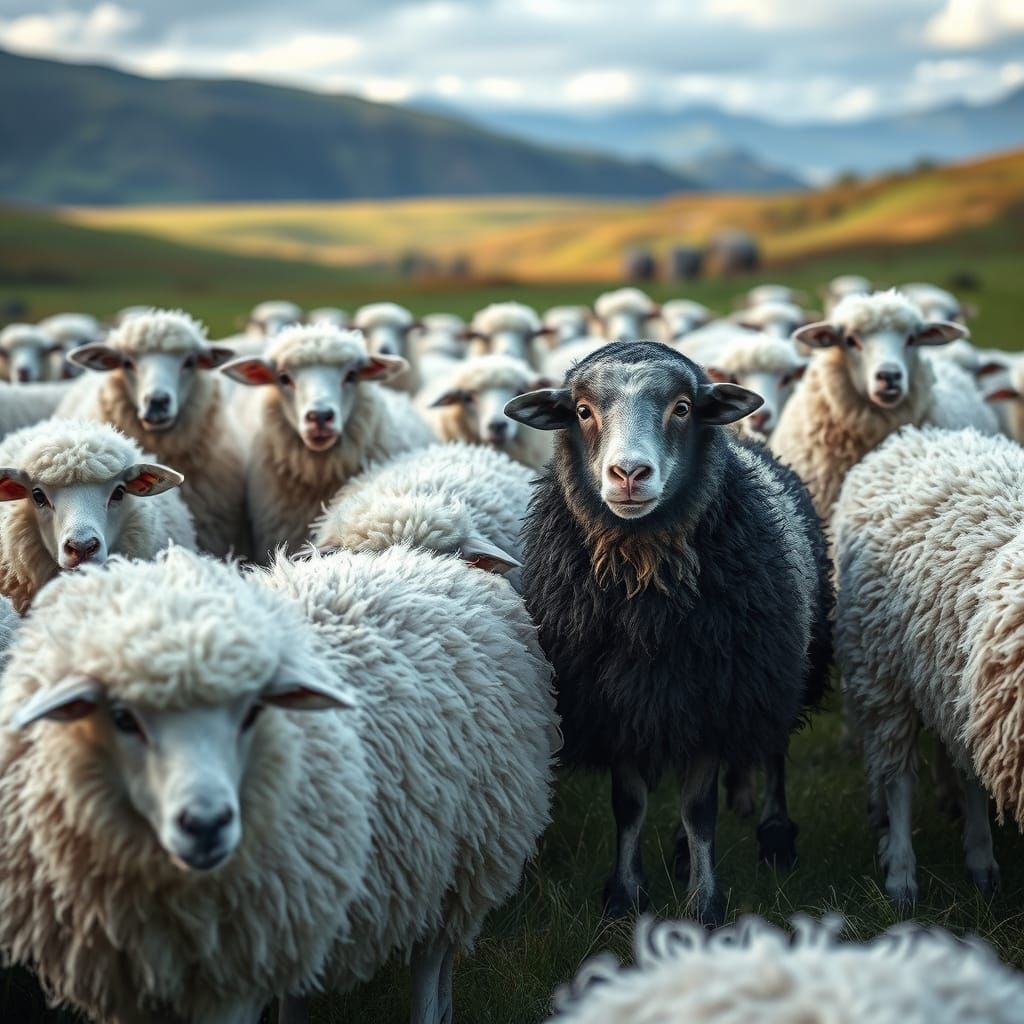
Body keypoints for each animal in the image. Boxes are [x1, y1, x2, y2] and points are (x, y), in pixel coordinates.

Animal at [0, 543, 557, 1024]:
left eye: (252, 713)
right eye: (121, 718)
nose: (207, 824)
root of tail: (440, 564)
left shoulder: (235, 977)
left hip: (463, 855)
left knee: (430, 957)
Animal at [506, 341, 832, 924]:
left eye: (682, 408)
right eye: (582, 411)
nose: (629, 473)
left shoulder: (714, 696)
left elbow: (699, 807)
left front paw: (704, 905)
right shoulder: (615, 705)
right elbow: (629, 803)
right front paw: (623, 895)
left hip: (782, 667)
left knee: (773, 748)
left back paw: (774, 837)